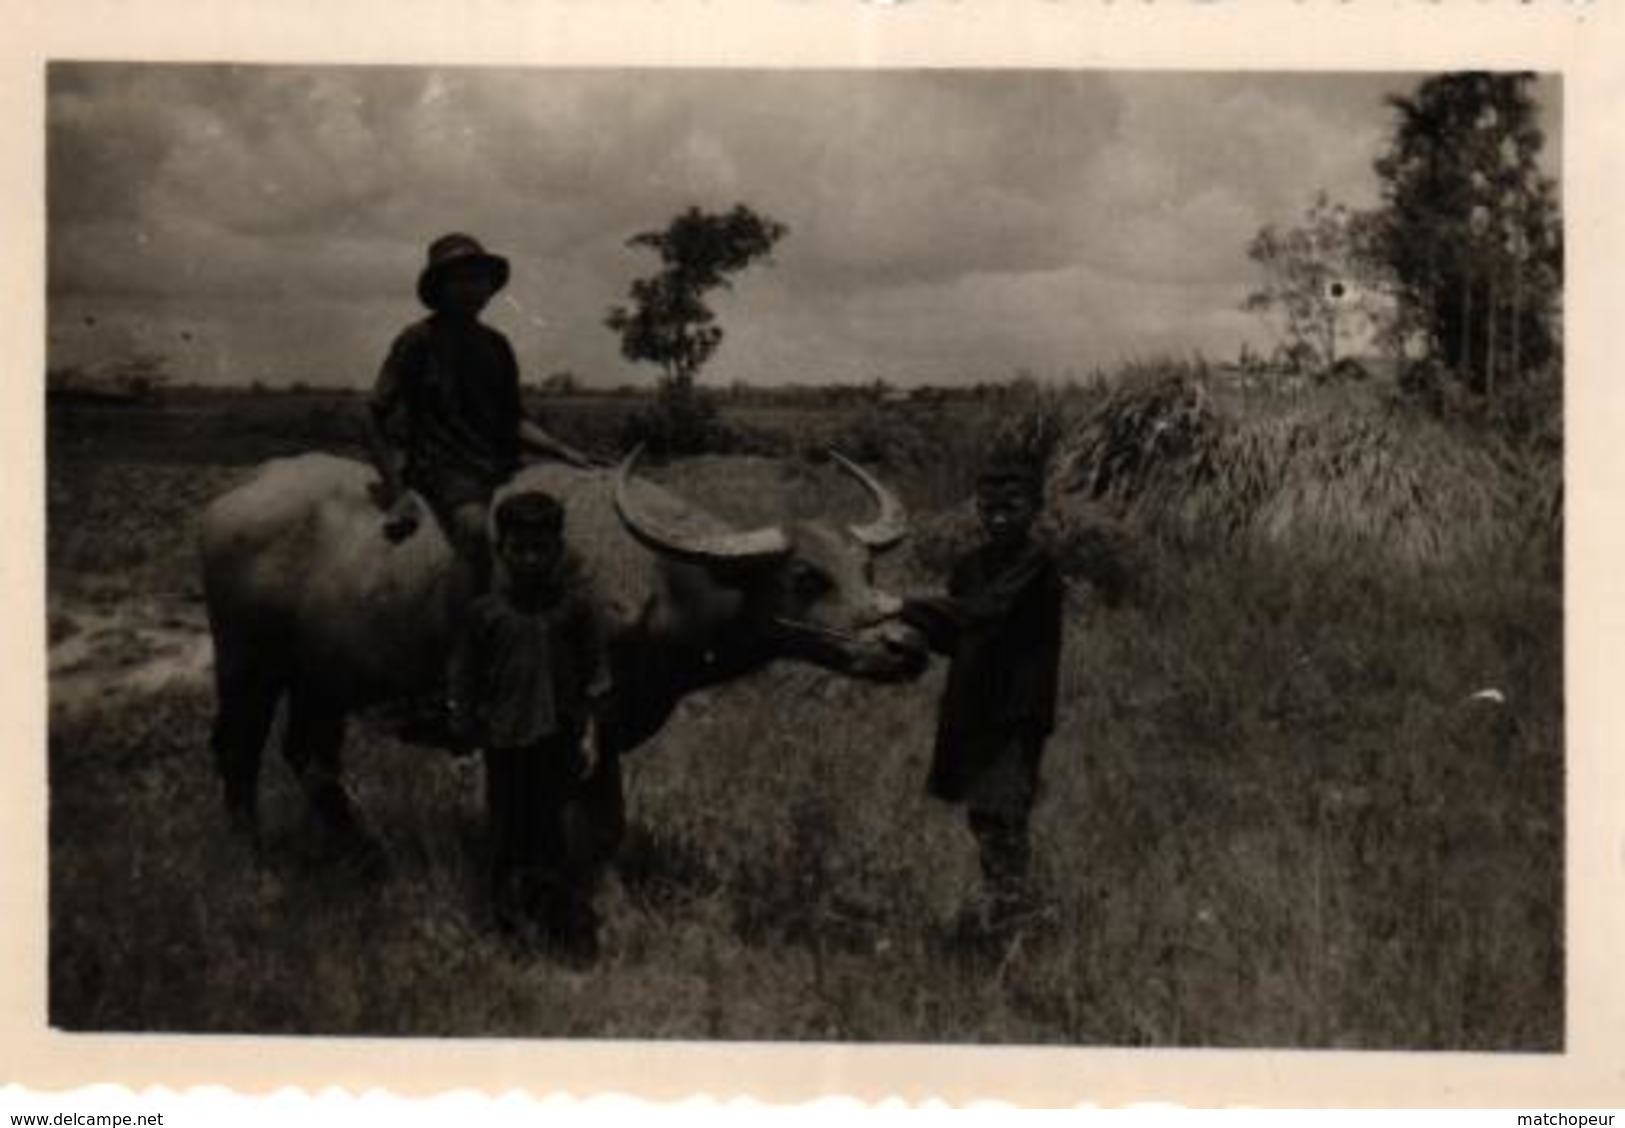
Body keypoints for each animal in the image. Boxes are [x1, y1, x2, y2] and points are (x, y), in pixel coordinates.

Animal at [195, 445, 929, 871]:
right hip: (246, 664)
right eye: (806, 577)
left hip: (321, 680)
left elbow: (594, 824)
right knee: (238, 750)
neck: (655, 583)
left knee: (311, 756)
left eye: (865, 566)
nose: (905, 647)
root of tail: (231, 496)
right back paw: (248, 853)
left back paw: (364, 850)